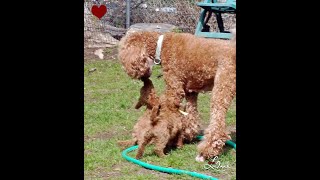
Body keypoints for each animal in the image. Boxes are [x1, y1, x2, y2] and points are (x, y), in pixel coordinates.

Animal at [117, 30, 235, 161]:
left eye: (124, 53)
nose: (131, 72)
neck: (161, 45)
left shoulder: (174, 87)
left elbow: (168, 111)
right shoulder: (190, 91)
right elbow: (191, 116)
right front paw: (186, 135)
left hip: (221, 89)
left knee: (217, 125)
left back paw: (206, 151)